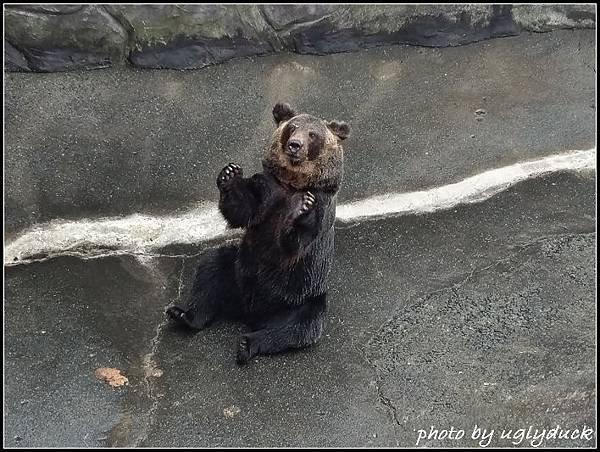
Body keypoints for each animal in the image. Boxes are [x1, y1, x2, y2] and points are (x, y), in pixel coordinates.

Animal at [166, 102, 350, 364]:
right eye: (292, 127)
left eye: (313, 134)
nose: (295, 145)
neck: (292, 183)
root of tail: (250, 312)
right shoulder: (265, 189)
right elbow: (243, 209)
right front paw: (229, 174)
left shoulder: (322, 206)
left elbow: (297, 241)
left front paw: (303, 208)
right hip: (237, 270)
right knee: (211, 269)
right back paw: (184, 314)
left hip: (301, 295)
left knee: (298, 326)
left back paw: (248, 343)